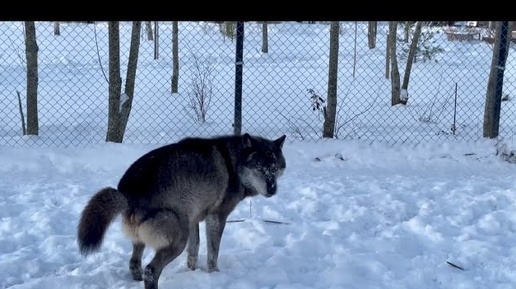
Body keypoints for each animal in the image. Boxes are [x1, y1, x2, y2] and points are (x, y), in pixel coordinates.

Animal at [76, 132, 286, 288]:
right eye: (259, 167)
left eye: (275, 168)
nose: (272, 189)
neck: (232, 163)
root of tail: (126, 193)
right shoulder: (216, 217)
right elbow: (213, 253)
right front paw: (214, 275)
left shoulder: (194, 219)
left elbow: (194, 250)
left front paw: (192, 271)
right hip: (178, 240)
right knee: (151, 271)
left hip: (148, 238)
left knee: (134, 264)